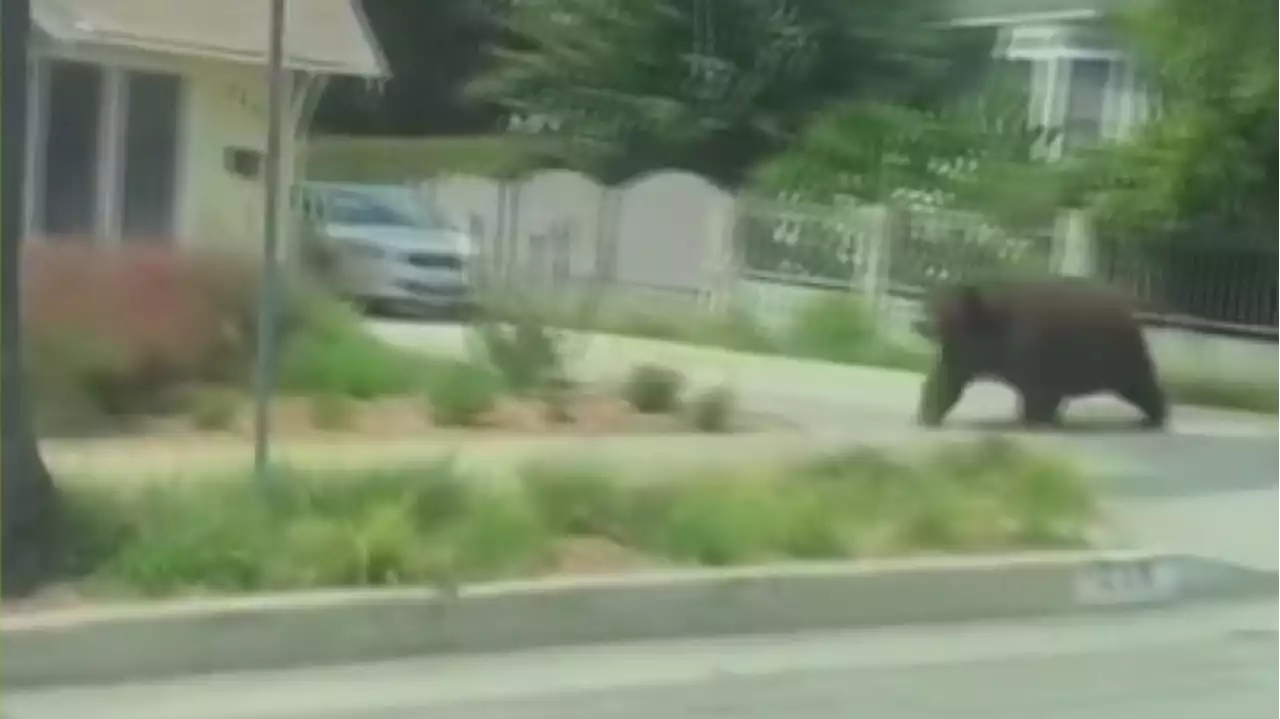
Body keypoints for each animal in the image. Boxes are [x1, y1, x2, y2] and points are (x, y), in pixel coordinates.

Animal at [911, 277, 1172, 427]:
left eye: (948, 323)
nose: (922, 324)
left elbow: (1036, 402)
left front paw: (1032, 420)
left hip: (1129, 366)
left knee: (1147, 389)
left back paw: (1153, 420)